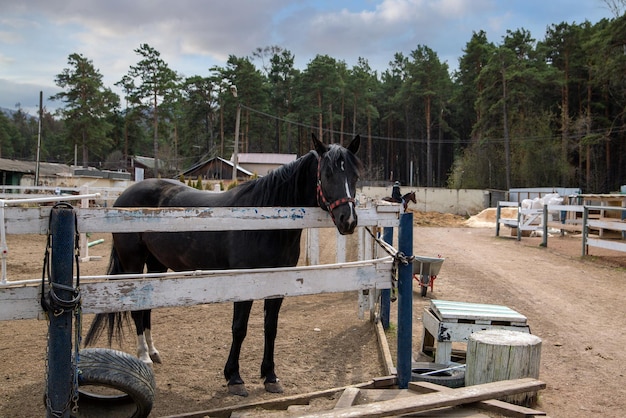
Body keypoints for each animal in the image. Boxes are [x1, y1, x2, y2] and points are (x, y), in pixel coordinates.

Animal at [85, 134, 364, 396]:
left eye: (355, 175)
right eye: (327, 173)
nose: (348, 220)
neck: (264, 221)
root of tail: (124, 196)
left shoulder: (276, 284)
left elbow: (270, 328)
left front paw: (270, 376)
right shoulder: (243, 283)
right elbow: (239, 329)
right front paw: (234, 378)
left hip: (156, 265)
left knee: (147, 307)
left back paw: (153, 351)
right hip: (132, 263)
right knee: (135, 309)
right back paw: (143, 356)